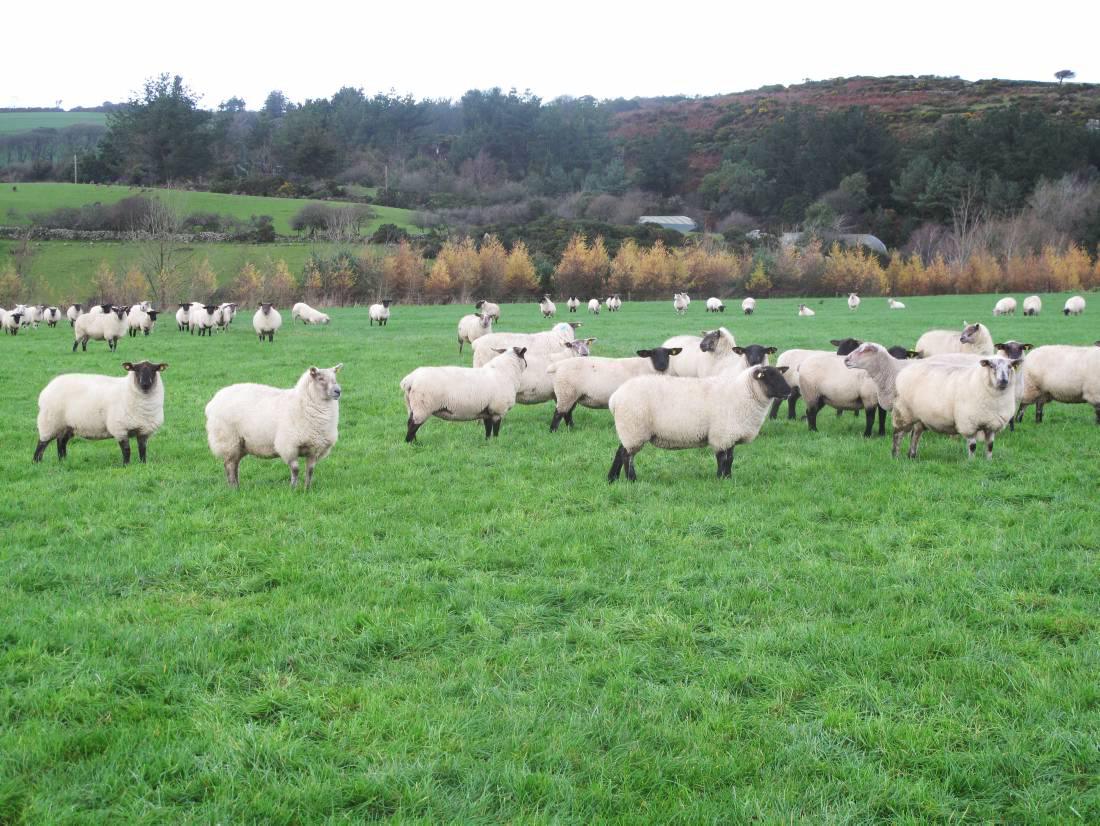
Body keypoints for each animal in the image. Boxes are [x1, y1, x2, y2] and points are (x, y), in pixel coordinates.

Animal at [34, 361, 167, 465]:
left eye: (154, 370)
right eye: (136, 370)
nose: (145, 384)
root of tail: (47, 388)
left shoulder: (144, 430)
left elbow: (142, 449)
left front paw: (143, 464)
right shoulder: (120, 428)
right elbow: (126, 450)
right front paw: (126, 465)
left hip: (66, 425)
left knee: (61, 442)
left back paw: (63, 461)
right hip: (49, 422)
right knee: (42, 443)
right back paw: (36, 462)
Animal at [205, 364, 343, 488]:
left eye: (335, 378)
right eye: (321, 378)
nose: (338, 391)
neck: (302, 402)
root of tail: (212, 402)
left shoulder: (315, 448)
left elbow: (310, 471)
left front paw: (307, 488)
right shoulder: (289, 446)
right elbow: (295, 469)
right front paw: (293, 488)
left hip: (240, 444)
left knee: (235, 464)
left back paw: (237, 485)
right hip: (228, 440)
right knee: (229, 465)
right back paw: (233, 488)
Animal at [548, 346, 682, 431]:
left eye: (668, 354)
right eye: (652, 354)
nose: (662, 365)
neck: (648, 366)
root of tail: (558, 365)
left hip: (571, 394)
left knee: (567, 413)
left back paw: (571, 428)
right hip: (566, 391)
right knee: (558, 413)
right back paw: (553, 431)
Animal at [607, 365, 792, 482]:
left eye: (780, 374)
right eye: (769, 377)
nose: (789, 392)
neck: (743, 394)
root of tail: (615, 398)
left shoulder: (730, 434)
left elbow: (731, 458)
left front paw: (728, 478)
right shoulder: (721, 434)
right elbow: (722, 458)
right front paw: (720, 478)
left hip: (628, 430)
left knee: (619, 452)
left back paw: (612, 478)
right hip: (633, 429)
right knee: (627, 456)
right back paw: (632, 480)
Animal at [891, 357, 1022, 460]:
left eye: (1010, 366)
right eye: (991, 366)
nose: (1003, 381)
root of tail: (904, 371)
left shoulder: (991, 425)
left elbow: (990, 446)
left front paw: (988, 461)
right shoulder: (969, 424)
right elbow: (972, 446)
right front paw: (972, 462)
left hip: (920, 417)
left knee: (915, 435)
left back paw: (912, 455)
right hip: (903, 412)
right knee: (898, 434)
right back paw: (895, 456)